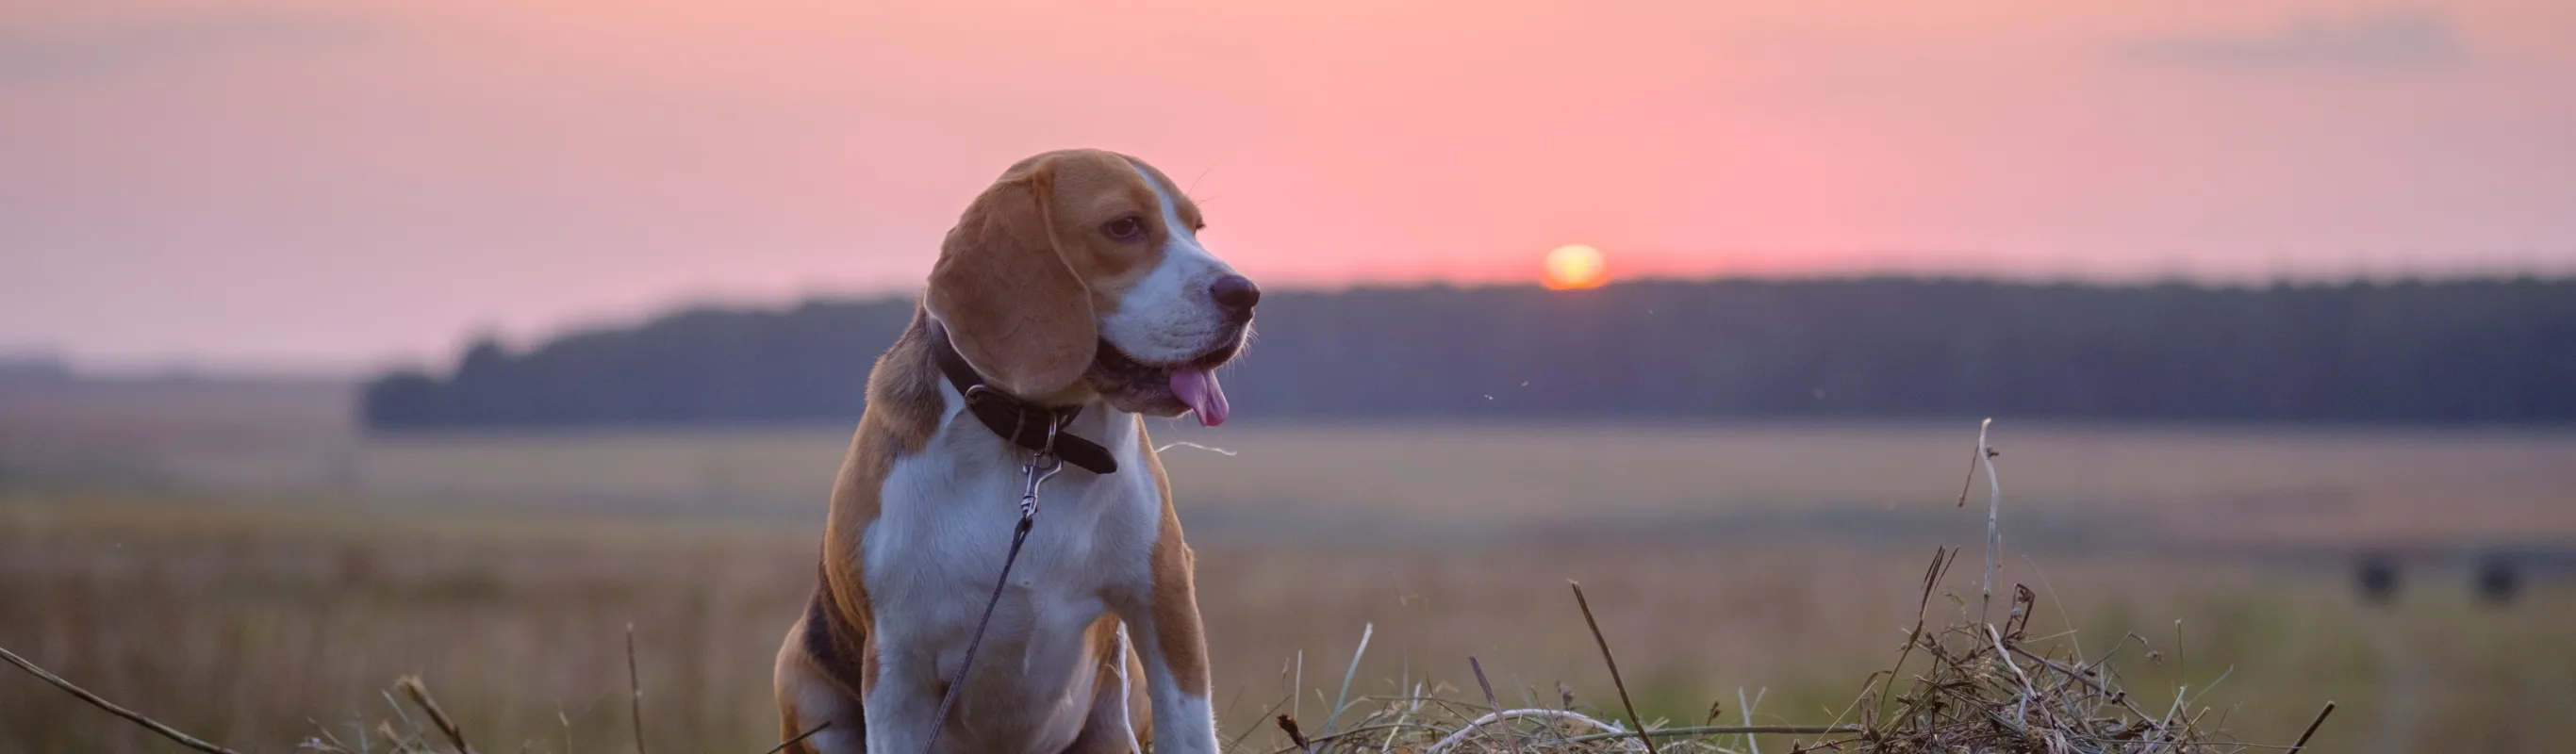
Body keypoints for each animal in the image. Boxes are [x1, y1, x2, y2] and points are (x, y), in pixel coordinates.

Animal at [772, 147, 1257, 751]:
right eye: (1123, 226)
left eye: (1195, 229)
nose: (1246, 295)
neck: (1032, 439)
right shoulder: (897, 669)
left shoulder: (1164, 603)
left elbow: (1188, 729)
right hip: (798, 674)